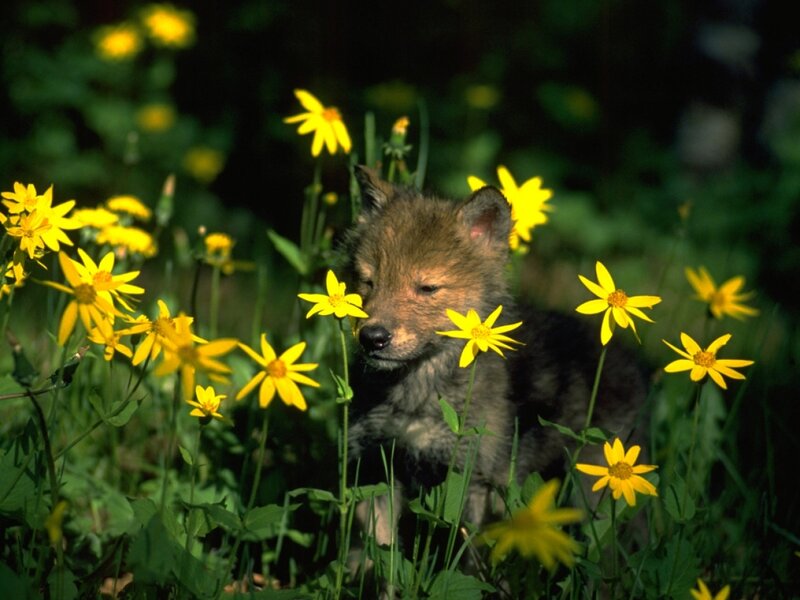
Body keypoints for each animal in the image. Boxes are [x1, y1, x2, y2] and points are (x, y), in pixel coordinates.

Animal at [343, 166, 646, 550]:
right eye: (369, 281)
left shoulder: (471, 481)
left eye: (427, 288)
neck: (415, 395)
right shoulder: (376, 468)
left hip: (596, 494)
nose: (373, 338)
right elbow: (375, 556)